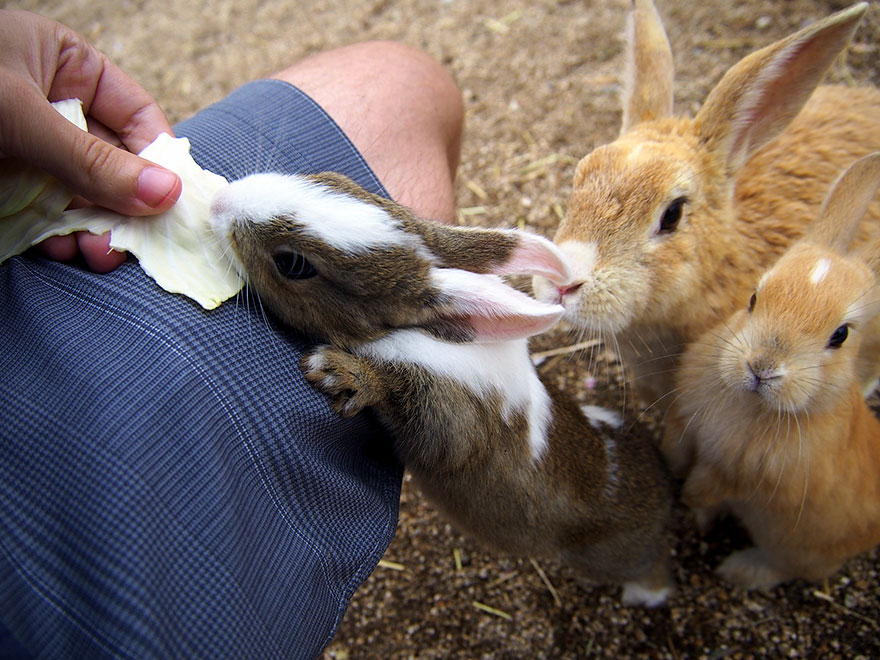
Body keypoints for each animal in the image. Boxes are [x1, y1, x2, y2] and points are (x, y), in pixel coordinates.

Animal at [209, 171, 675, 607]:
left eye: (293, 264)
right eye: (327, 179)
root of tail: (666, 496)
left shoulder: (449, 423)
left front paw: (339, 372)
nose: (219, 202)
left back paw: (644, 593)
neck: (424, 332)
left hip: (615, 558)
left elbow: (407, 405)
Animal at [662, 152, 880, 591]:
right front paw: (670, 468)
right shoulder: (686, 418)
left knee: (785, 568)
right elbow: (677, 443)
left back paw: (737, 568)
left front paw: (689, 497)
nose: (761, 367)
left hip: (793, 546)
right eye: (753, 297)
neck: (750, 402)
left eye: (841, 335)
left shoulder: (750, 475)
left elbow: (712, 483)